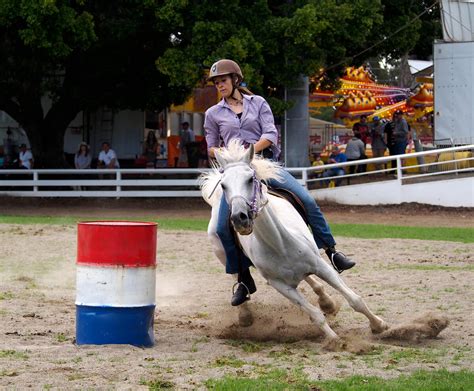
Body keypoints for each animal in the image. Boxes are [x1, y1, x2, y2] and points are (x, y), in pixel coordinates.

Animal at [200, 142, 388, 344]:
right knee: (238, 276)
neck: (279, 243)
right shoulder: (281, 286)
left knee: (311, 280)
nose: (239, 218)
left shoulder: (321, 266)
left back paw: (327, 303)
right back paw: (244, 314)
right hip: (224, 255)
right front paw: (335, 341)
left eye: (250, 179)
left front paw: (379, 326)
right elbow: (315, 315)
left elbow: (355, 300)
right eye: (224, 185)